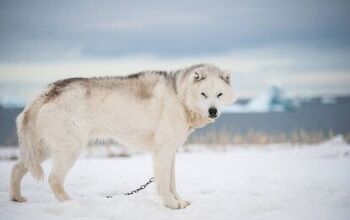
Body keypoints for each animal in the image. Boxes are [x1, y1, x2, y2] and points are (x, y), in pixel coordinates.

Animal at [10, 63, 235, 208]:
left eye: (219, 94)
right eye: (204, 94)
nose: (213, 111)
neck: (179, 96)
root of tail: (50, 90)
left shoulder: (171, 151)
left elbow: (172, 182)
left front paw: (179, 201)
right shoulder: (162, 151)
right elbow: (164, 184)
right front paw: (171, 204)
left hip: (42, 150)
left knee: (17, 167)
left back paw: (16, 198)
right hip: (70, 150)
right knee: (54, 179)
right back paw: (71, 205)